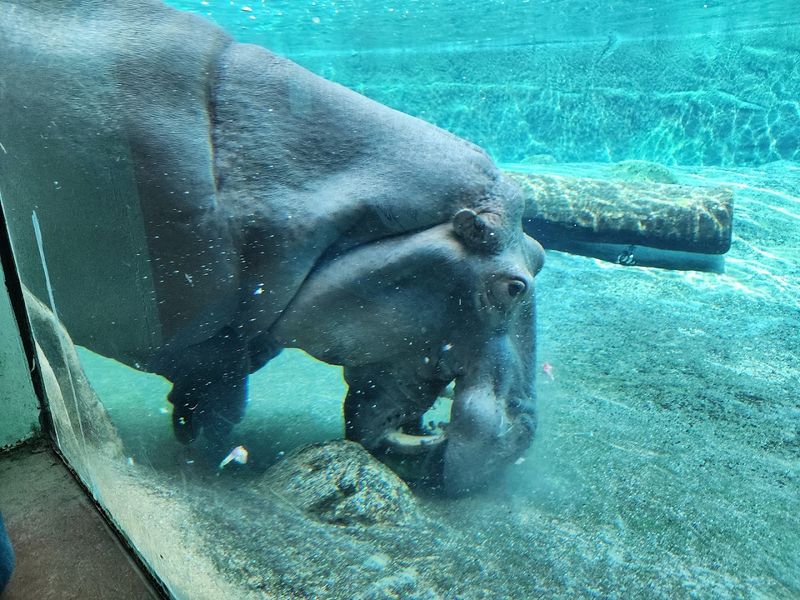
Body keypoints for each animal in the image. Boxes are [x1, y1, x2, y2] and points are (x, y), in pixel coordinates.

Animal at [0, 0, 544, 494]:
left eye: (540, 253)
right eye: (513, 287)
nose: (523, 434)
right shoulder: (209, 341)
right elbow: (220, 401)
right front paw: (203, 458)